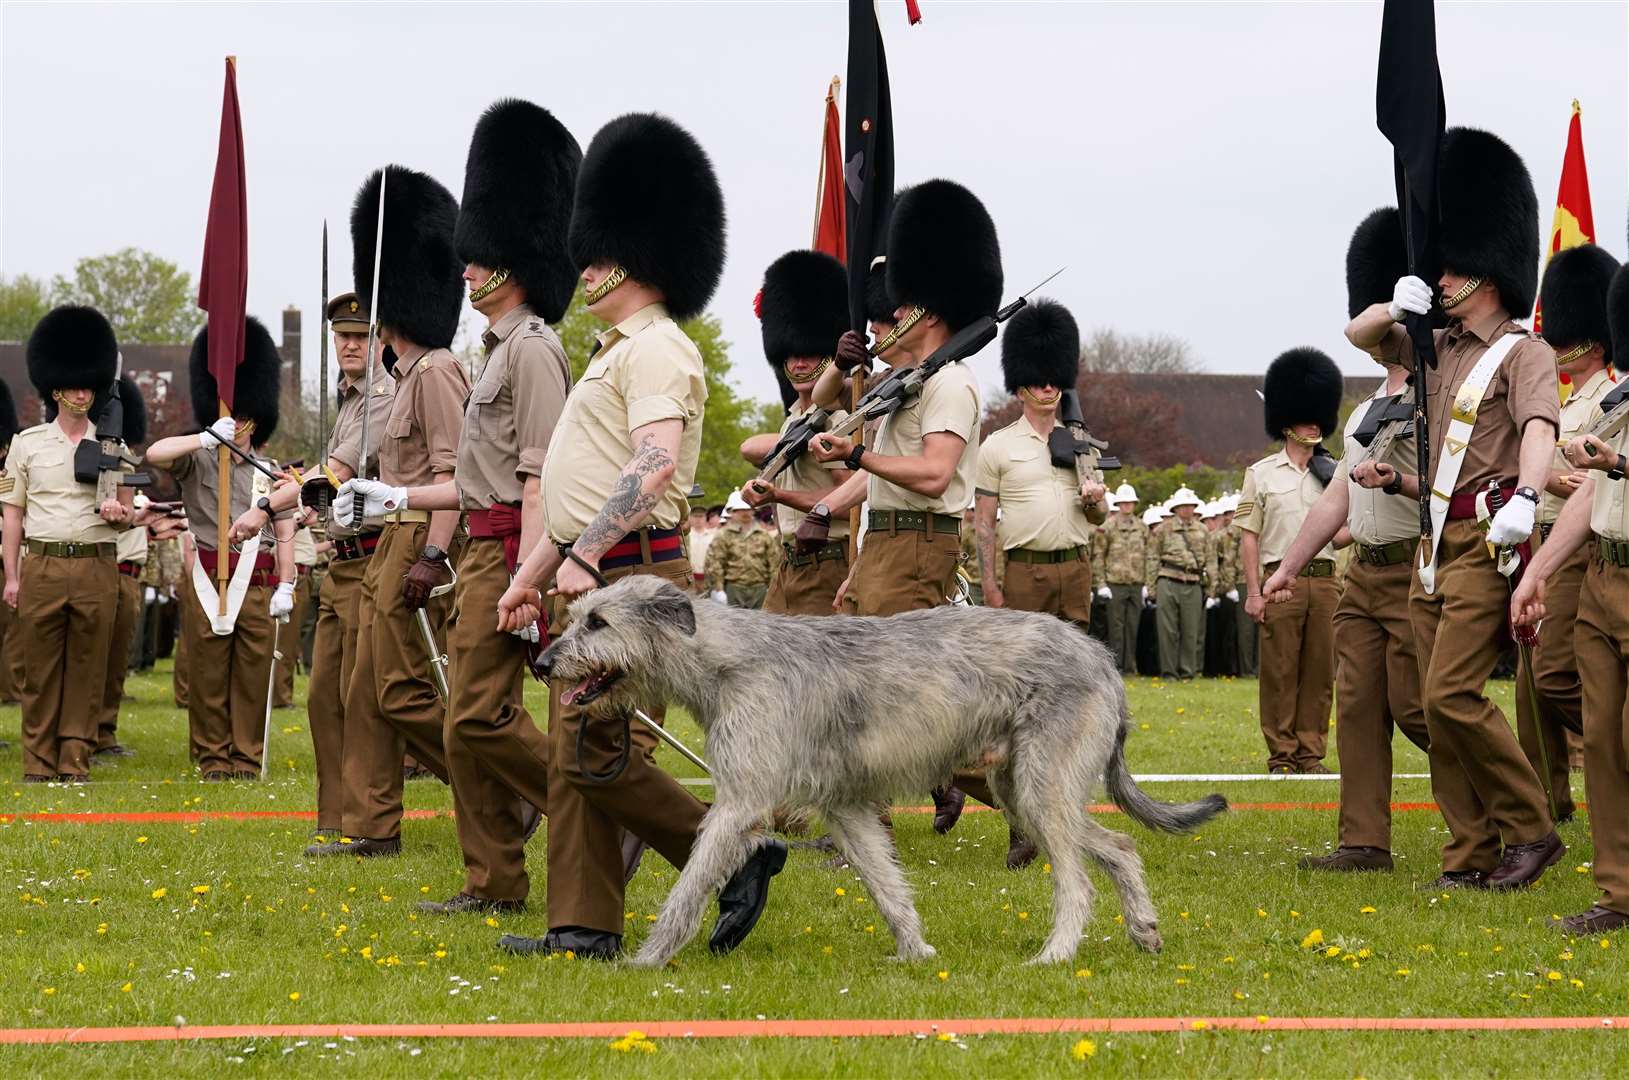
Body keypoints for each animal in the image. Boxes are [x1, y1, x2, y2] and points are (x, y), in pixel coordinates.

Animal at [540, 579, 1225, 964]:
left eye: (597, 622)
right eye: (574, 616)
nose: (544, 663)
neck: (725, 660)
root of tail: (1103, 656)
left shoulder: (740, 801)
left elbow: (688, 889)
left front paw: (647, 960)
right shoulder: (843, 806)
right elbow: (887, 886)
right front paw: (916, 952)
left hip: (1041, 784)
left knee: (1078, 882)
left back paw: (1055, 955)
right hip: (1023, 788)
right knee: (1119, 845)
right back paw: (1144, 930)